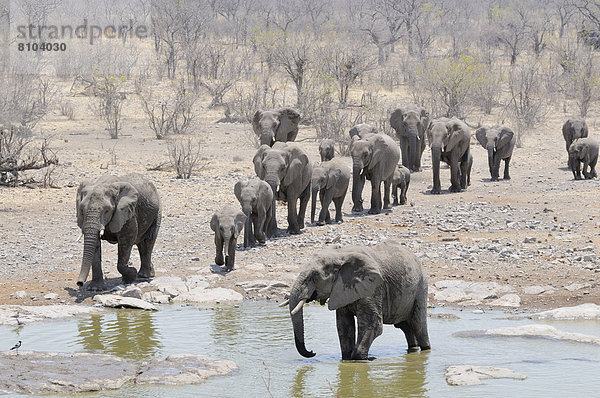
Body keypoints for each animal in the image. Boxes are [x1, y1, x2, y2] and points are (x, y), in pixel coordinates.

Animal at [286, 239, 432, 360]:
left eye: (314, 276)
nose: (312, 352)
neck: (340, 254)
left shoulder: (373, 288)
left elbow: (373, 325)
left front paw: (363, 359)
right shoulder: (342, 290)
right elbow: (344, 326)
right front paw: (346, 359)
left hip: (421, 286)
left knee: (418, 324)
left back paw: (426, 350)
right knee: (405, 326)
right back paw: (412, 349)